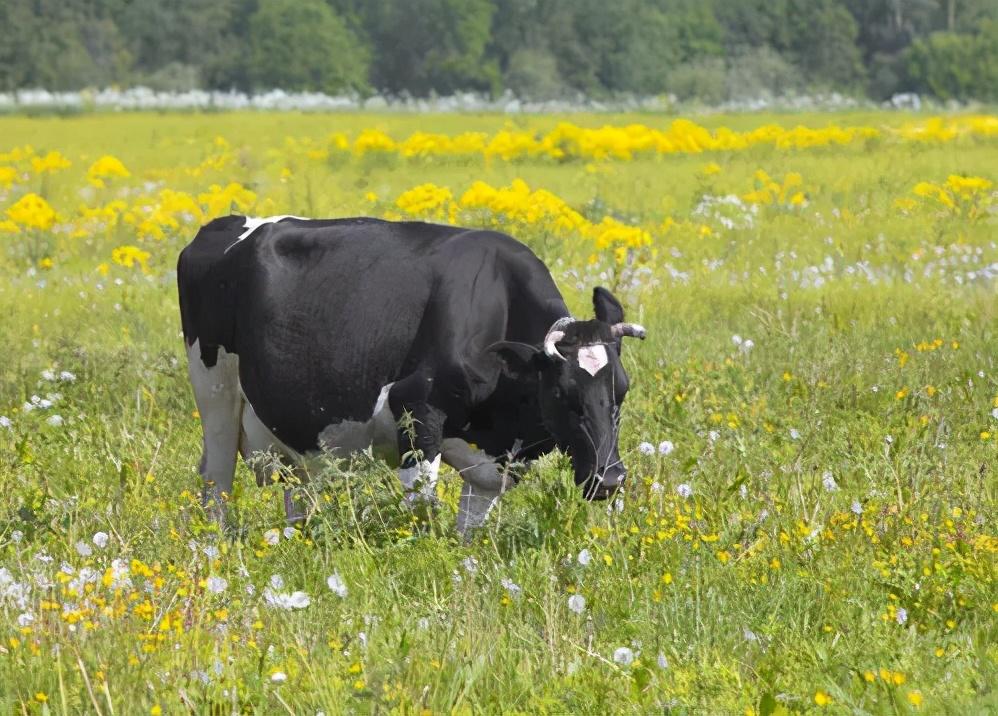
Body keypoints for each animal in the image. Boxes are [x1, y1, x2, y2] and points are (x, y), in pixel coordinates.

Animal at [179, 215, 648, 536]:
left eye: (622, 391)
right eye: (563, 395)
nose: (610, 479)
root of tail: (222, 225)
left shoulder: (491, 466)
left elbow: (468, 532)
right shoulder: (416, 409)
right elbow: (421, 512)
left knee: (296, 485)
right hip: (215, 393)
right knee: (216, 481)